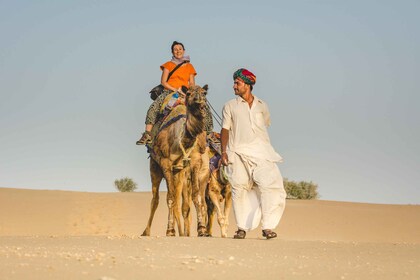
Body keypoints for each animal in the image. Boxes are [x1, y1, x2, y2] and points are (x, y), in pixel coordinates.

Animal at [142, 85, 210, 236]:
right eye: (189, 93)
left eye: (204, 93)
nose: (199, 100)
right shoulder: (165, 163)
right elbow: (170, 198)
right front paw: (170, 230)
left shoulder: (195, 162)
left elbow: (196, 196)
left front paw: (202, 228)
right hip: (155, 166)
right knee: (156, 199)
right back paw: (146, 231)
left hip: (179, 172)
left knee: (179, 202)